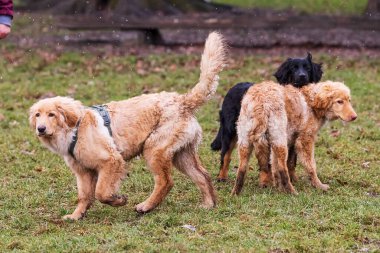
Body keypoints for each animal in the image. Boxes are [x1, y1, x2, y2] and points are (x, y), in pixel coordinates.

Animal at [29, 32, 227, 219]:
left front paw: (117, 200)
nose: (41, 129)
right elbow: (84, 196)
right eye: (37, 115)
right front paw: (76, 215)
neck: (74, 130)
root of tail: (182, 101)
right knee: (202, 176)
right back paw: (208, 204)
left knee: (166, 181)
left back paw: (146, 206)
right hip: (181, 154)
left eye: (52, 114)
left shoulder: (111, 161)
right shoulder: (83, 172)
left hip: (154, 149)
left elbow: (101, 192)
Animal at [212, 52, 322, 182]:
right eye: (293, 69)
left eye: (308, 68)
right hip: (230, 130)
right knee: (225, 155)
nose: (302, 76)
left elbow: (290, 160)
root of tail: (233, 87)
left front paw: (291, 179)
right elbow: (267, 161)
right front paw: (267, 181)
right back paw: (221, 177)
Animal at [230, 80, 358, 195]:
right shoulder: (305, 140)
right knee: (283, 167)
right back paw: (292, 192)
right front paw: (318, 185)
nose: (355, 117)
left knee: (241, 169)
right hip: (280, 141)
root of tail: (261, 100)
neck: (311, 102)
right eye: (339, 102)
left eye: (349, 100)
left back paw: (235, 193)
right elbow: (311, 166)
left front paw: (279, 188)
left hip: (245, 142)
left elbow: (275, 167)